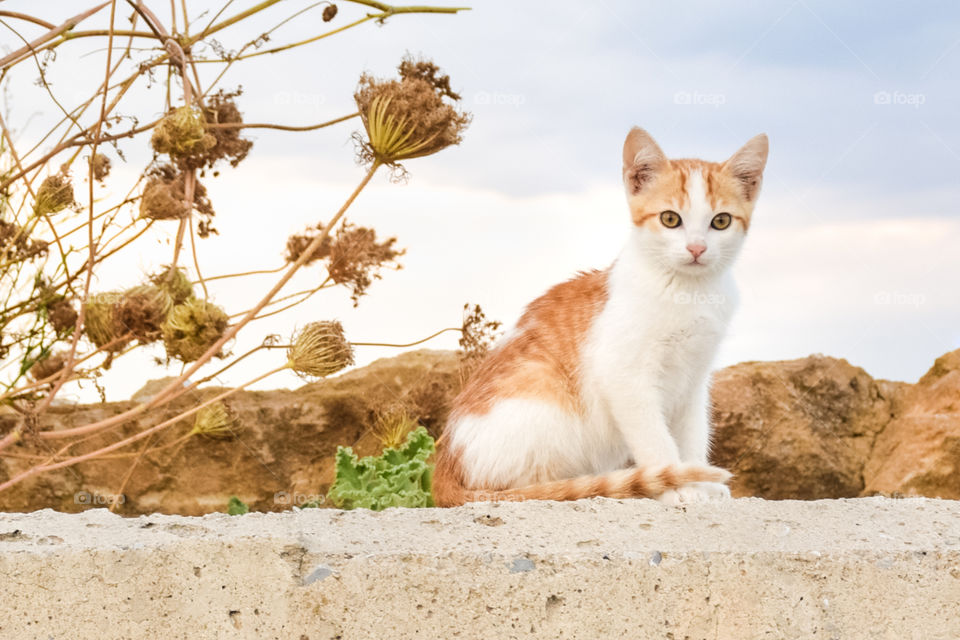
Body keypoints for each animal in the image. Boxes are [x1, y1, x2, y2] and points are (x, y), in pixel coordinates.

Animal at [432, 126, 768, 504]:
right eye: (670, 219)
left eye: (720, 222)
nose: (697, 248)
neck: (689, 291)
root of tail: (445, 466)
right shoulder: (623, 375)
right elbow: (656, 439)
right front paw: (676, 487)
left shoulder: (694, 380)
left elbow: (693, 434)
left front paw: (702, 485)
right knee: (526, 488)